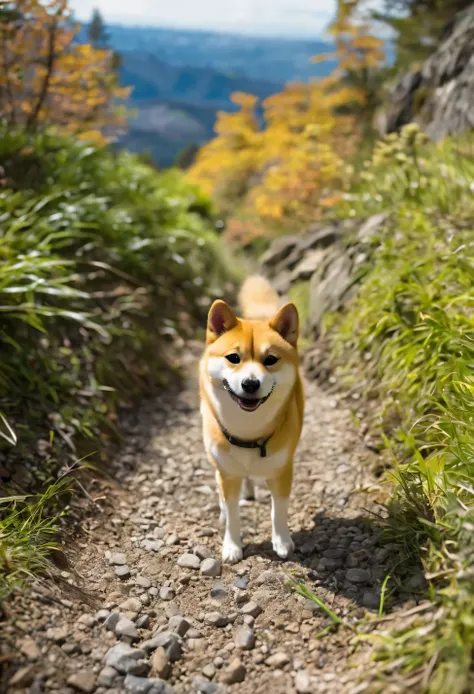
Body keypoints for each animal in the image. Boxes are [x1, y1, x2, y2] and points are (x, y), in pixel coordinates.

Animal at [199, 274, 304, 564]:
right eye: (233, 358)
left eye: (270, 360)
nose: (250, 383)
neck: (248, 432)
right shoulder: (227, 474)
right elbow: (233, 512)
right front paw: (232, 545)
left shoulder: (282, 471)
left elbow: (278, 510)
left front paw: (282, 541)